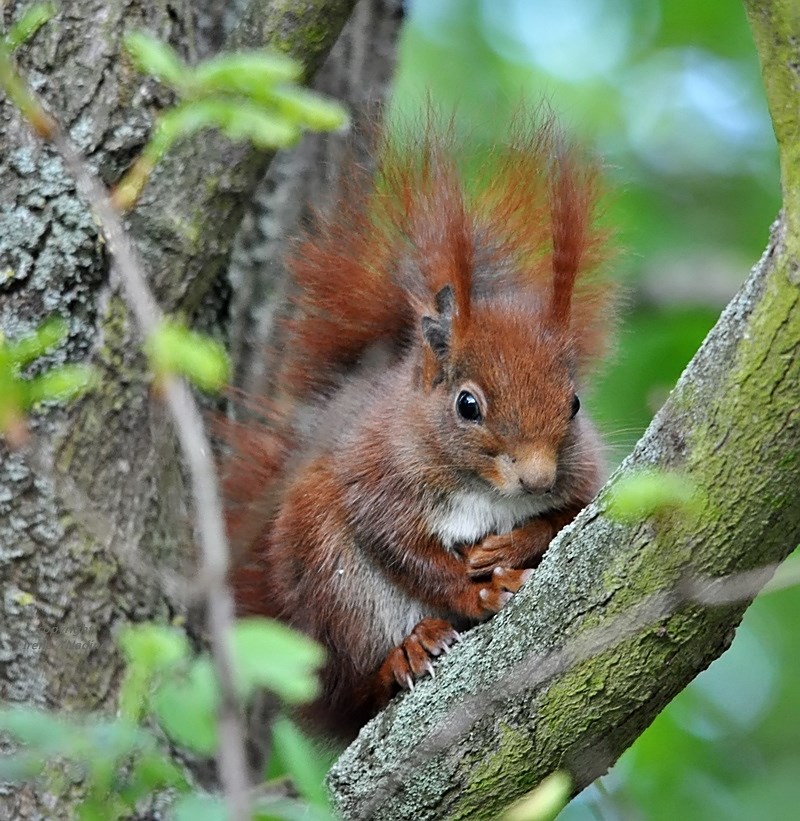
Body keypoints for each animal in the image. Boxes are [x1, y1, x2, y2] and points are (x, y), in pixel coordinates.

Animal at [228, 118, 616, 740]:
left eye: (575, 403)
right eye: (467, 405)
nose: (536, 479)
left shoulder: (582, 476)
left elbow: (568, 516)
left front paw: (515, 542)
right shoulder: (376, 478)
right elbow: (407, 551)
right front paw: (480, 589)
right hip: (333, 579)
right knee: (364, 685)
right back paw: (405, 652)